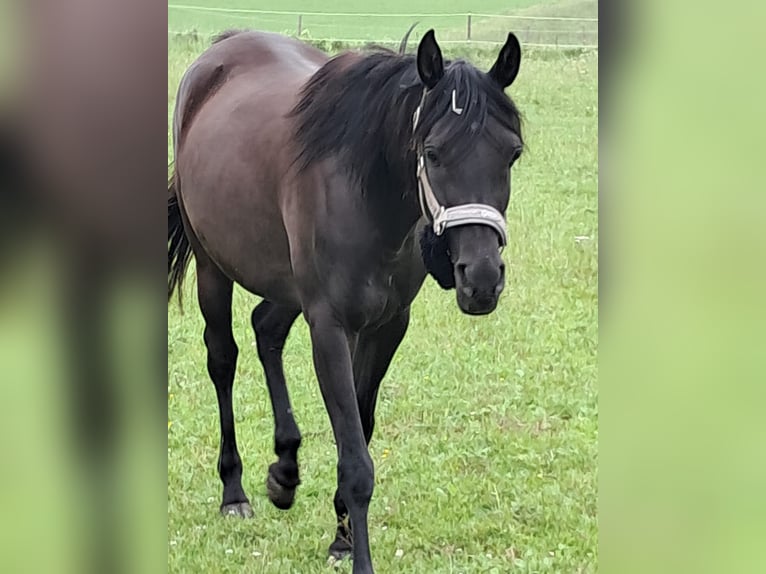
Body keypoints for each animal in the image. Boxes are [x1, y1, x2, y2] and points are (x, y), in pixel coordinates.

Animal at [170, 28, 520, 574]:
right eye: (434, 152)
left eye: (512, 154)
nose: (481, 278)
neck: (367, 193)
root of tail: (222, 47)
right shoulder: (331, 328)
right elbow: (355, 459)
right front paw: (357, 555)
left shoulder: (387, 326)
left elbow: (361, 426)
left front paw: (340, 536)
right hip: (212, 266)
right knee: (222, 359)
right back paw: (235, 489)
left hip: (286, 285)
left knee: (266, 329)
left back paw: (285, 469)